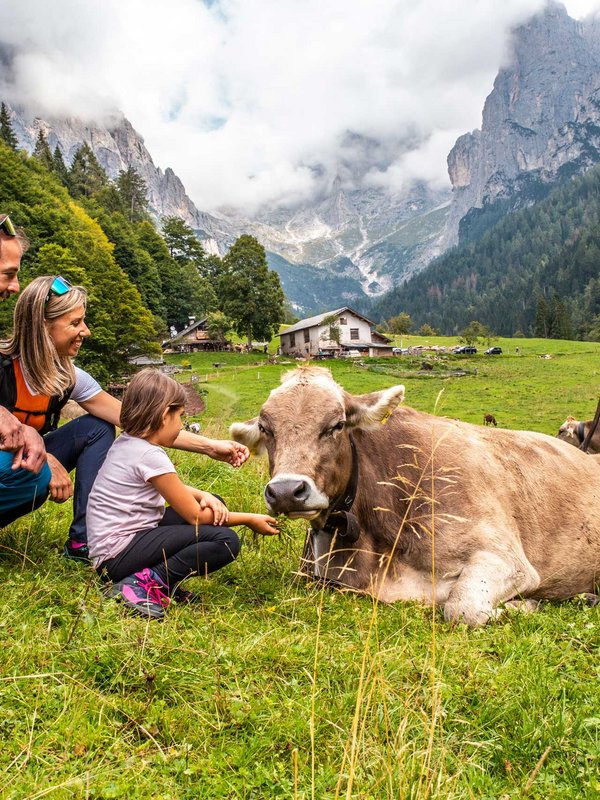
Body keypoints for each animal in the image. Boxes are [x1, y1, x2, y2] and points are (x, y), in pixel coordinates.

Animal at [231, 368, 600, 624]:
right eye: (265, 428)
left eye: (336, 425)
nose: (286, 492)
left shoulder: (506, 557)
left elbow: (462, 608)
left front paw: (526, 605)